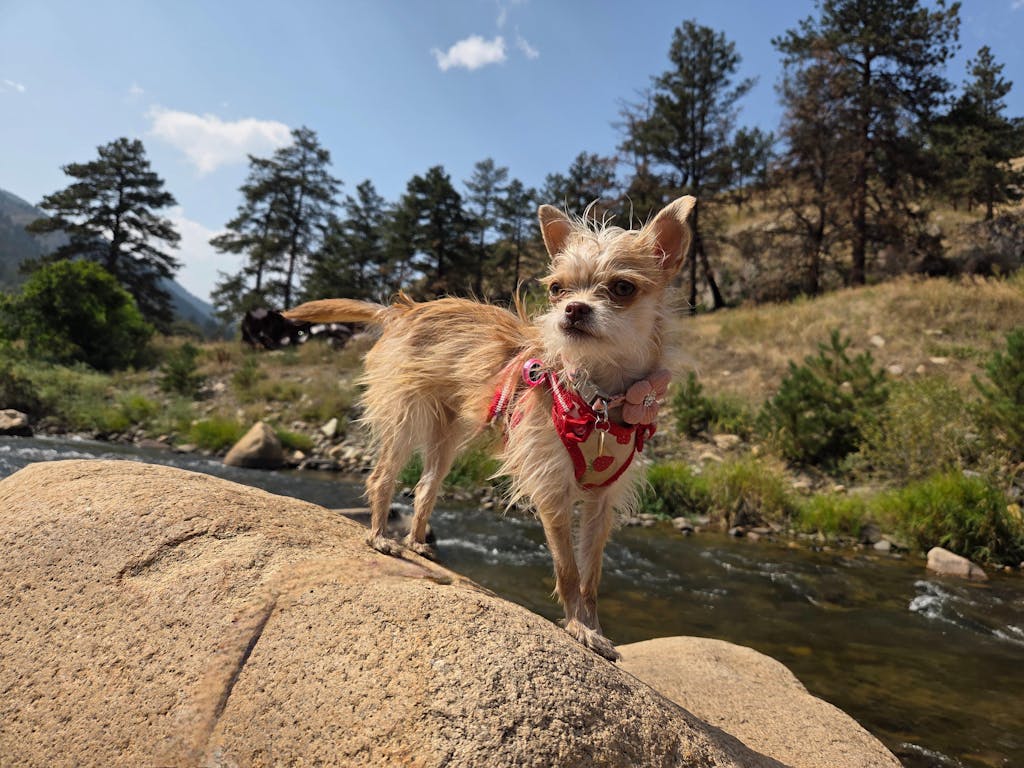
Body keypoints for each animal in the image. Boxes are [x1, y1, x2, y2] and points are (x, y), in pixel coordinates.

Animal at [283, 196, 695, 660]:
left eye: (623, 288)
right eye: (557, 289)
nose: (573, 309)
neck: (601, 399)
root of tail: (405, 309)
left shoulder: (601, 503)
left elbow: (591, 575)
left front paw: (594, 629)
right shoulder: (551, 488)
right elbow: (568, 569)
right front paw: (578, 628)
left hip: (446, 437)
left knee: (425, 487)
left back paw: (416, 542)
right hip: (406, 419)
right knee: (382, 477)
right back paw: (380, 537)